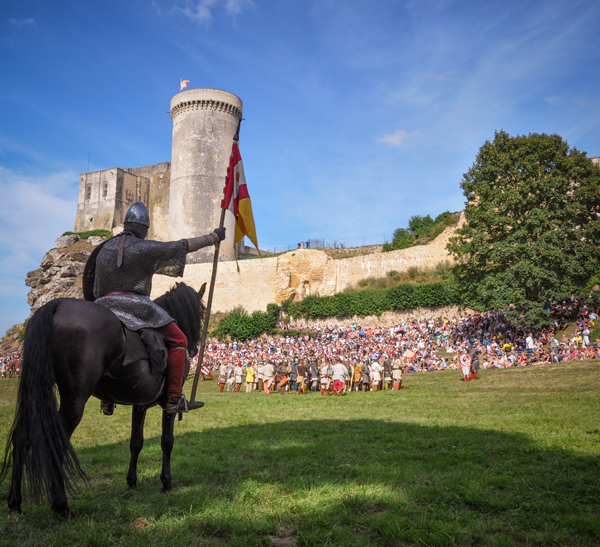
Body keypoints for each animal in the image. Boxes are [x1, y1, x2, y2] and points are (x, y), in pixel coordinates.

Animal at [1, 282, 206, 520]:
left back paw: (15, 504)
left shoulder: (140, 403)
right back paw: (61, 505)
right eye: (201, 312)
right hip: (74, 400)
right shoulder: (168, 404)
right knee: (55, 440)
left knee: (22, 437)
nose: (194, 348)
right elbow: (167, 441)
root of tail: (55, 305)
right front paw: (166, 483)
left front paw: (132, 481)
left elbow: (136, 442)